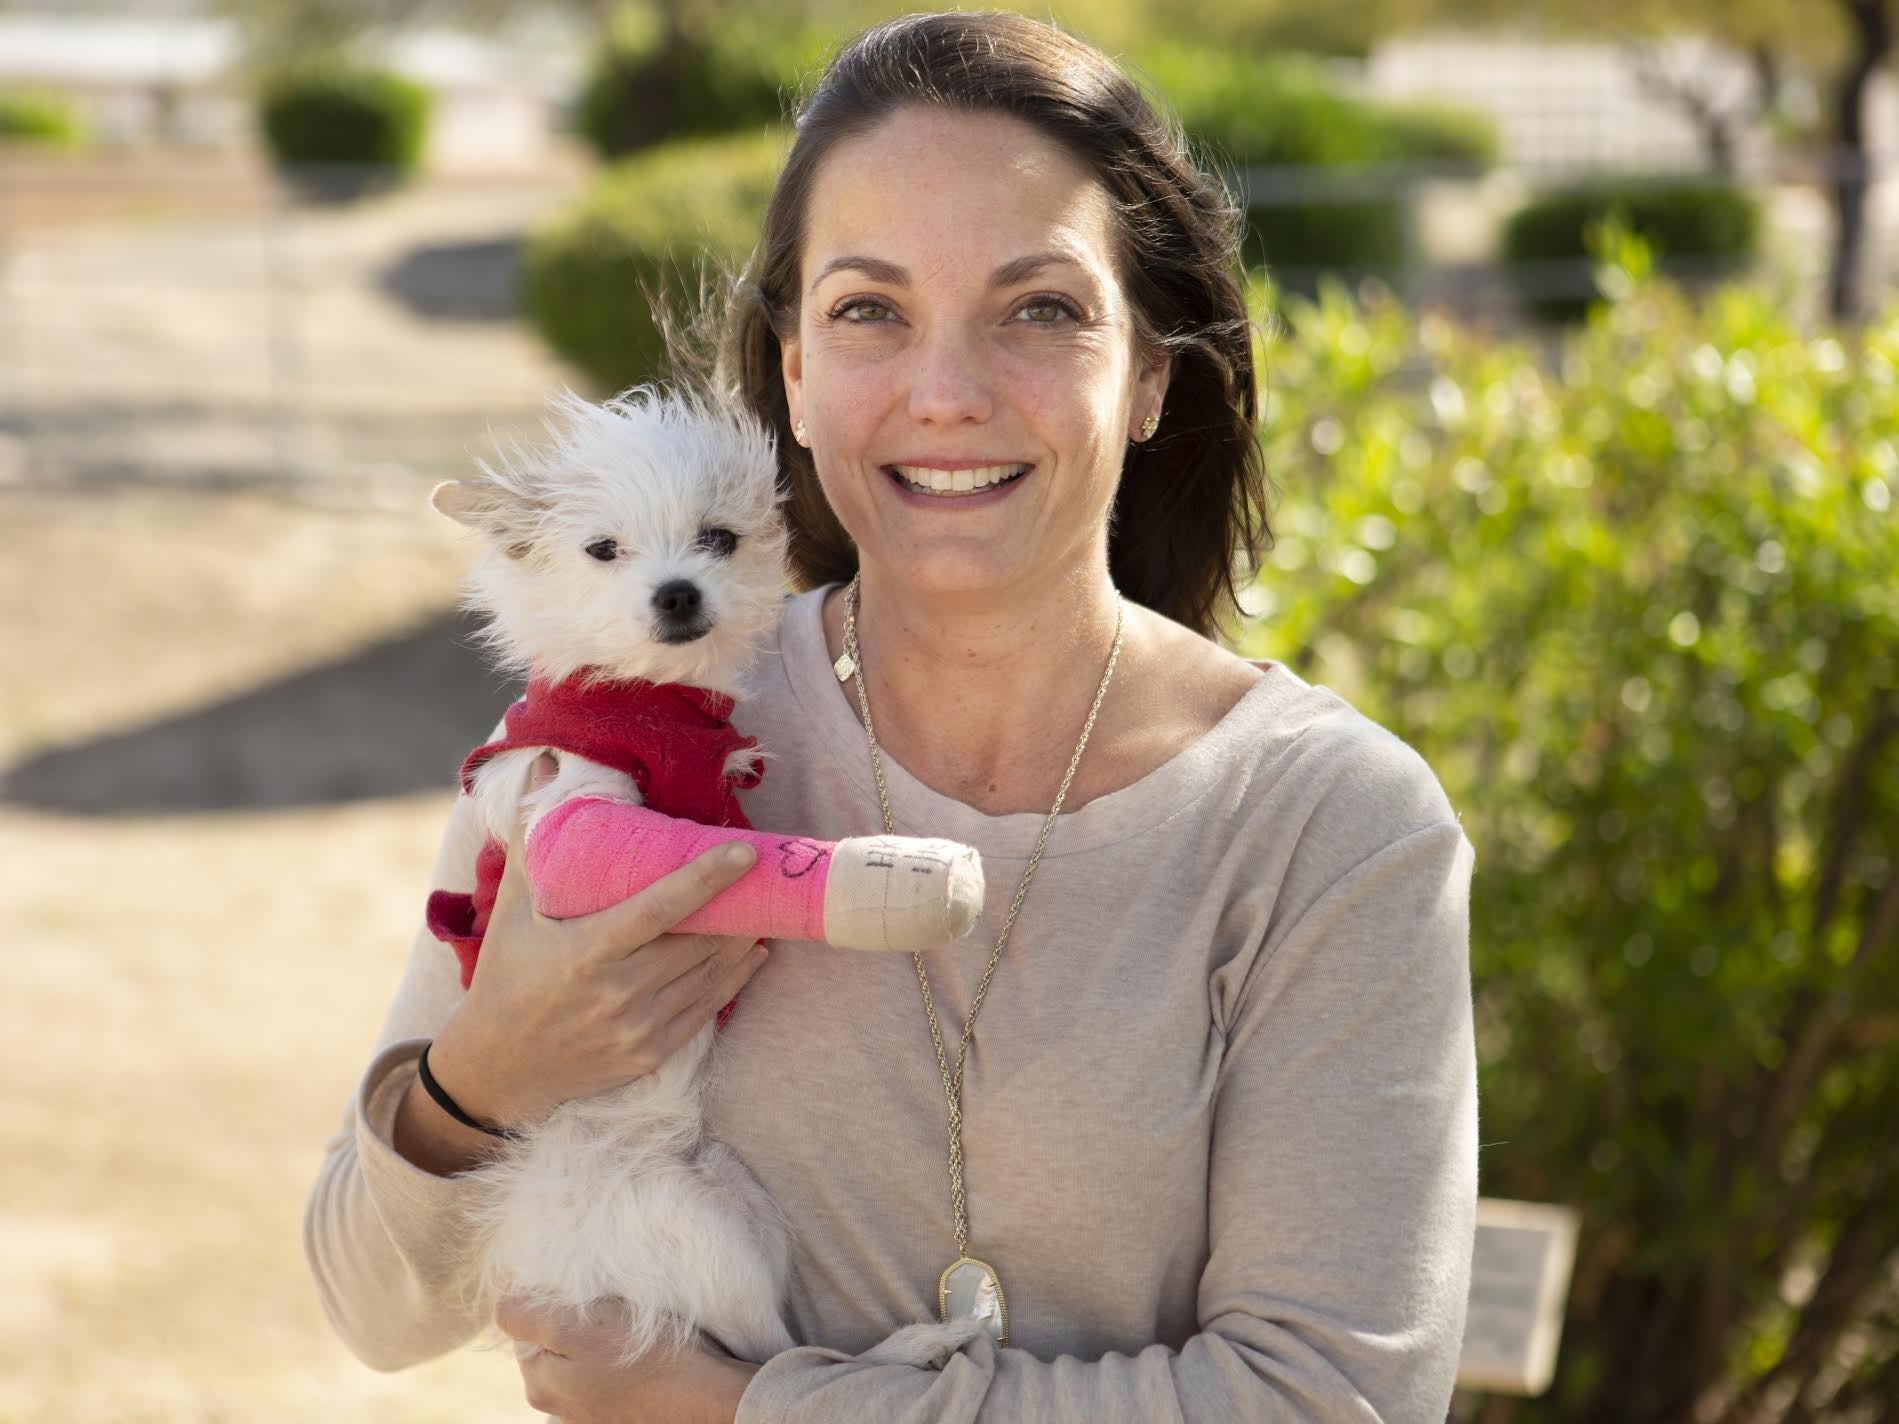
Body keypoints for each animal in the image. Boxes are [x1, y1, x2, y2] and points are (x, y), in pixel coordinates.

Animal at [429, 387, 979, 1374]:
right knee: (777, 1357)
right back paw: (920, 1342)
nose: (677, 591)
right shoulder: (569, 819)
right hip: (703, 1232)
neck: (655, 699)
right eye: (602, 550)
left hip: (733, 1202)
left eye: (718, 538)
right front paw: (878, 878)